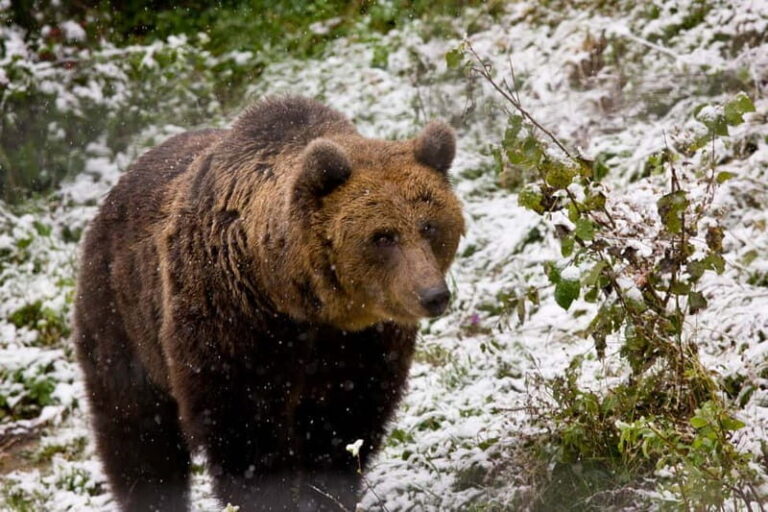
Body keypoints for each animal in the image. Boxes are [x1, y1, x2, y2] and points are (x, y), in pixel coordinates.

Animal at [73, 96, 464, 512]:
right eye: (383, 236)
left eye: (429, 226)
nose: (433, 295)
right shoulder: (231, 325)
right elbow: (244, 432)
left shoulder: (361, 345)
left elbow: (344, 422)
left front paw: (325, 493)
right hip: (122, 318)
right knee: (136, 430)